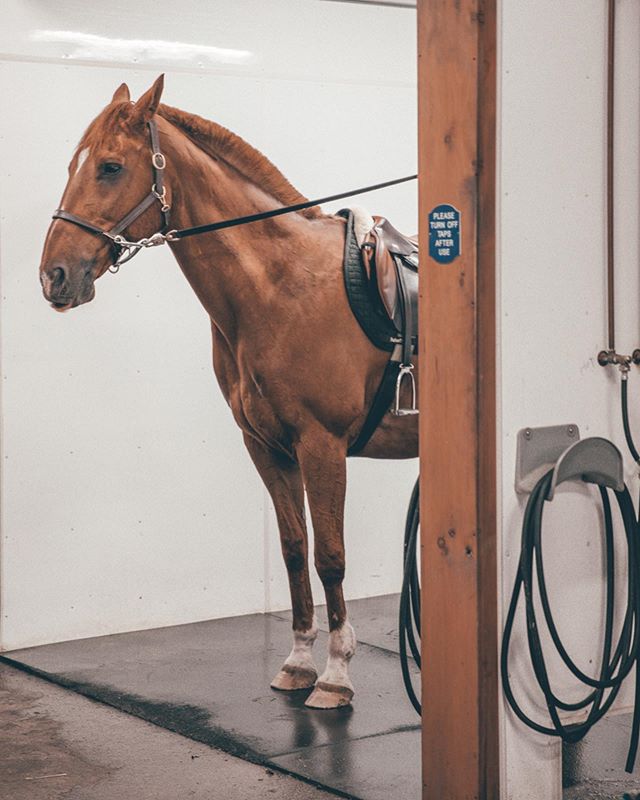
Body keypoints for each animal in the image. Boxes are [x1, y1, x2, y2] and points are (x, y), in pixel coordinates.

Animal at [41, 75, 420, 708]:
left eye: (111, 167)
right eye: (75, 164)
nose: (54, 276)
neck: (279, 285)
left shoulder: (323, 446)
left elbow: (330, 556)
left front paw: (336, 674)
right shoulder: (265, 446)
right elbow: (294, 550)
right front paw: (298, 662)